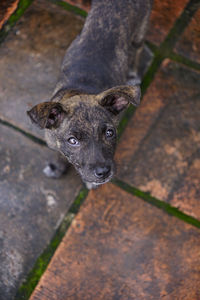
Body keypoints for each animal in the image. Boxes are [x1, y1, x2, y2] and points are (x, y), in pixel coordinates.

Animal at [26, 0, 152, 189]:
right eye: (72, 141)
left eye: (109, 133)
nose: (103, 172)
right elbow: (60, 153)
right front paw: (57, 166)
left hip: (140, 31)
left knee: (138, 49)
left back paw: (133, 75)